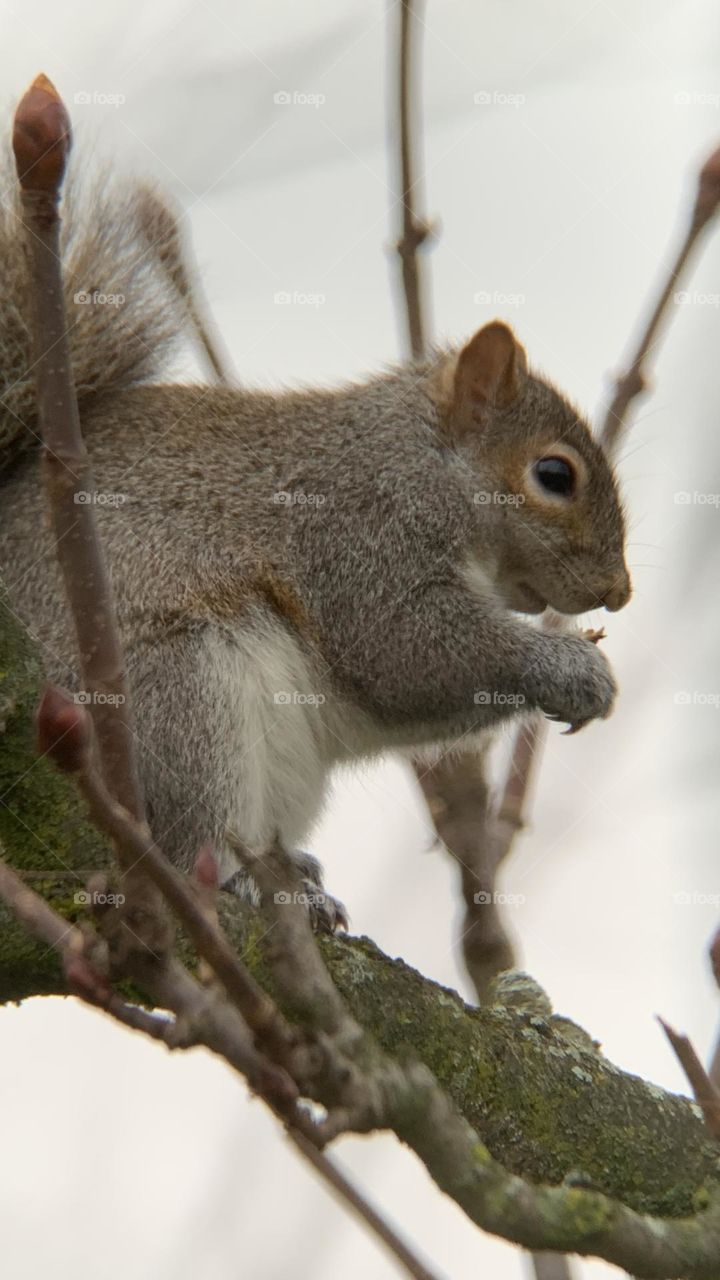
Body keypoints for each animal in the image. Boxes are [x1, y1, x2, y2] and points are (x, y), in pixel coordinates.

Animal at [0, 159, 631, 927]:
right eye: (554, 475)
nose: (619, 591)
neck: (419, 459)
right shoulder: (360, 538)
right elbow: (406, 649)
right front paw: (571, 668)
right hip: (172, 701)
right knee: (182, 833)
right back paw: (234, 880)